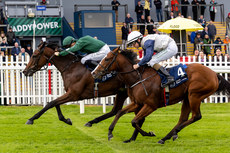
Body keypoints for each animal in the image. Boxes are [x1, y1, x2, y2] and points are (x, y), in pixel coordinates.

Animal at [91, 47, 230, 144]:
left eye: (107, 59)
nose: (93, 73)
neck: (137, 77)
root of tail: (214, 74)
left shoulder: (151, 105)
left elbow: (134, 121)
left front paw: (149, 133)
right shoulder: (137, 103)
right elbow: (120, 113)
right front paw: (110, 132)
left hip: (194, 95)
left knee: (196, 116)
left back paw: (173, 133)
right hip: (187, 97)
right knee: (183, 118)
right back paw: (166, 137)